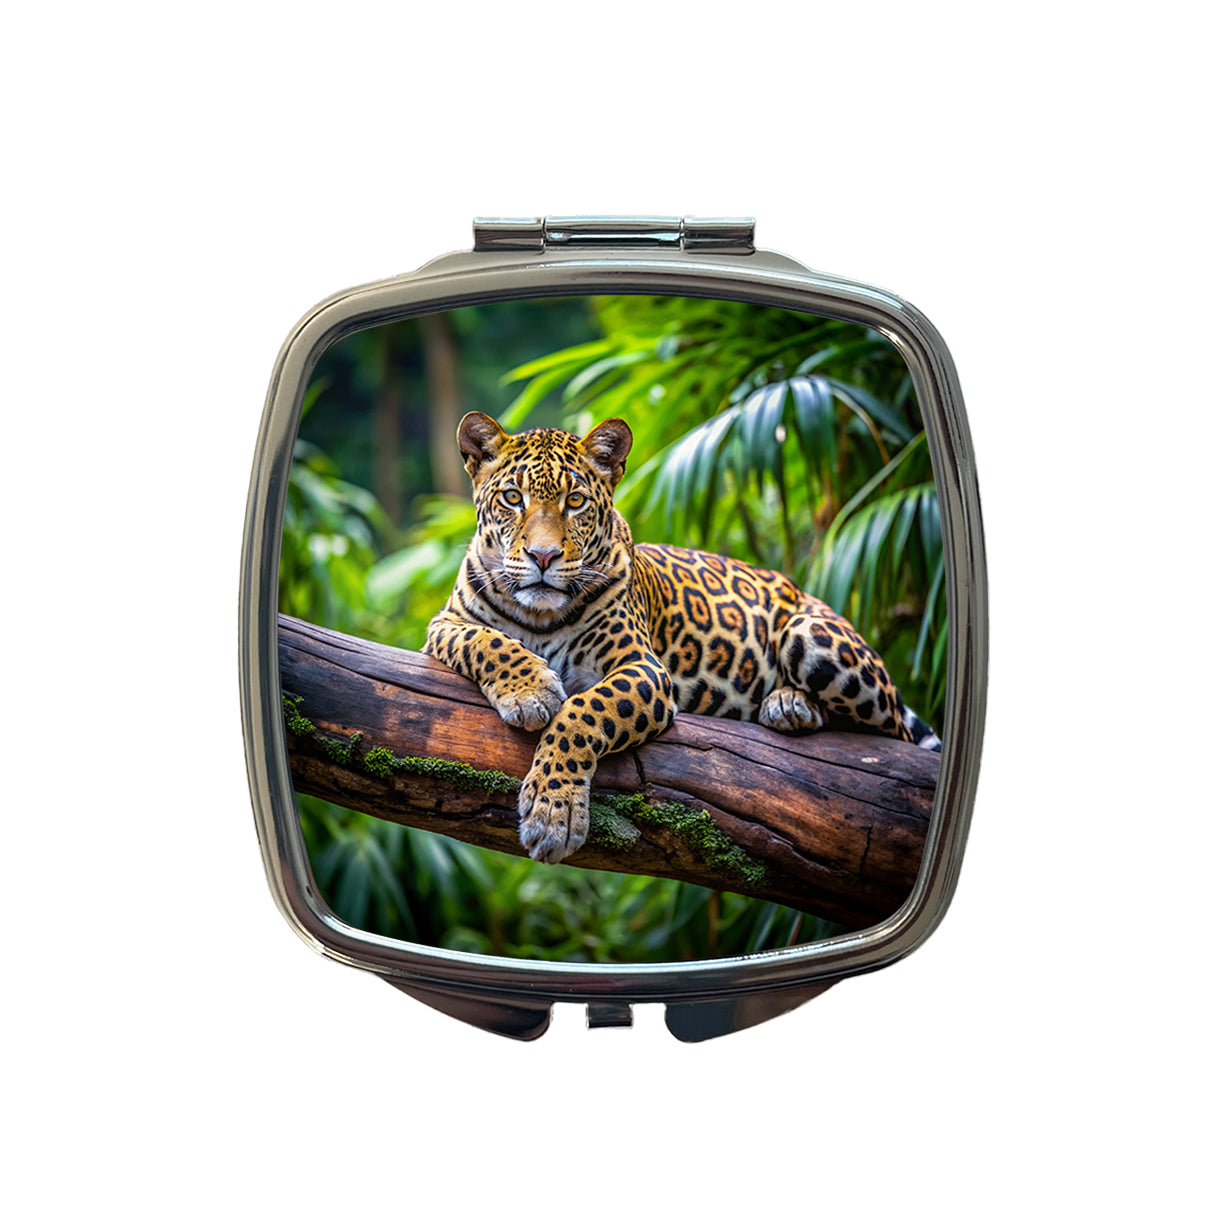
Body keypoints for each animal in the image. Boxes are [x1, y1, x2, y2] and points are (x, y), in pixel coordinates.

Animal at [425, 411, 941, 865]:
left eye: (575, 503)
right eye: (513, 498)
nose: (544, 556)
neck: (540, 615)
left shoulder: (644, 668)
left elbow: (582, 712)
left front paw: (555, 815)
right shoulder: (444, 626)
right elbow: (487, 642)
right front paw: (530, 690)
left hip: (809, 631)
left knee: (890, 740)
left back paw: (792, 703)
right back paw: (789, 704)